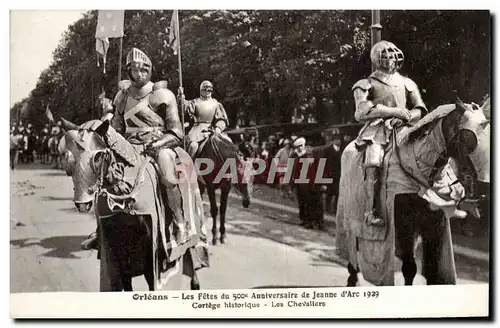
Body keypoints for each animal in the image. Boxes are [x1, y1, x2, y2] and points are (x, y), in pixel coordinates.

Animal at [61, 119, 206, 290]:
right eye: (69, 158)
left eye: (98, 156)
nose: (81, 204)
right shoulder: (118, 245)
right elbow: (125, 279)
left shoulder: (150, 248)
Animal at [336, 98, 488, 286]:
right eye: (467, 136)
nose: (483, 186)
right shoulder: (404, 225)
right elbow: (409, 268)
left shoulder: (433, 224)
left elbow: (428, 270)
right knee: (352, 255)